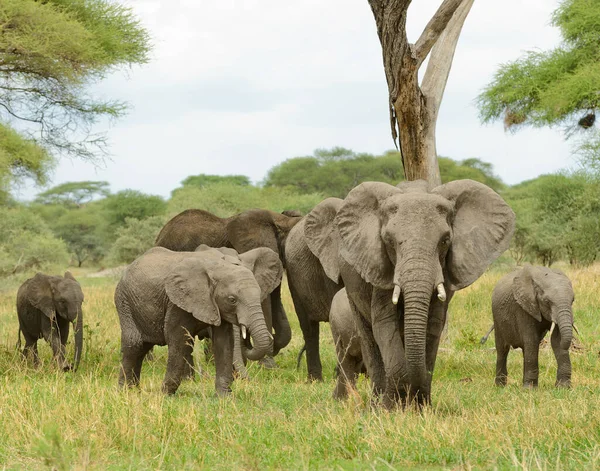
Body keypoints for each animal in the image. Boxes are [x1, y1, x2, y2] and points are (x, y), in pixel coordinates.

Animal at [115, 245, 284, 396]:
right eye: (232, 300)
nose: (248, 342)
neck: (219, 266)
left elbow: (224, 342)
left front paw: (224, 397)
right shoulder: (176, 302)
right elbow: (178, 340)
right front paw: (164, 395)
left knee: (143, 347)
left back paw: (135, 390)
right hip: (124, 301)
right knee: (134, 344)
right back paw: (125, 392)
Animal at [300, 181, 516, 410]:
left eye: (445, 240)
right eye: (389, 241)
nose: (415, 401)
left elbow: (433, 325)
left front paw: (421, 408)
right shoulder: (381, 269)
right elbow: (385, 324)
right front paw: (391, 409)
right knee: (369, 341)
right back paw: (375, 406)